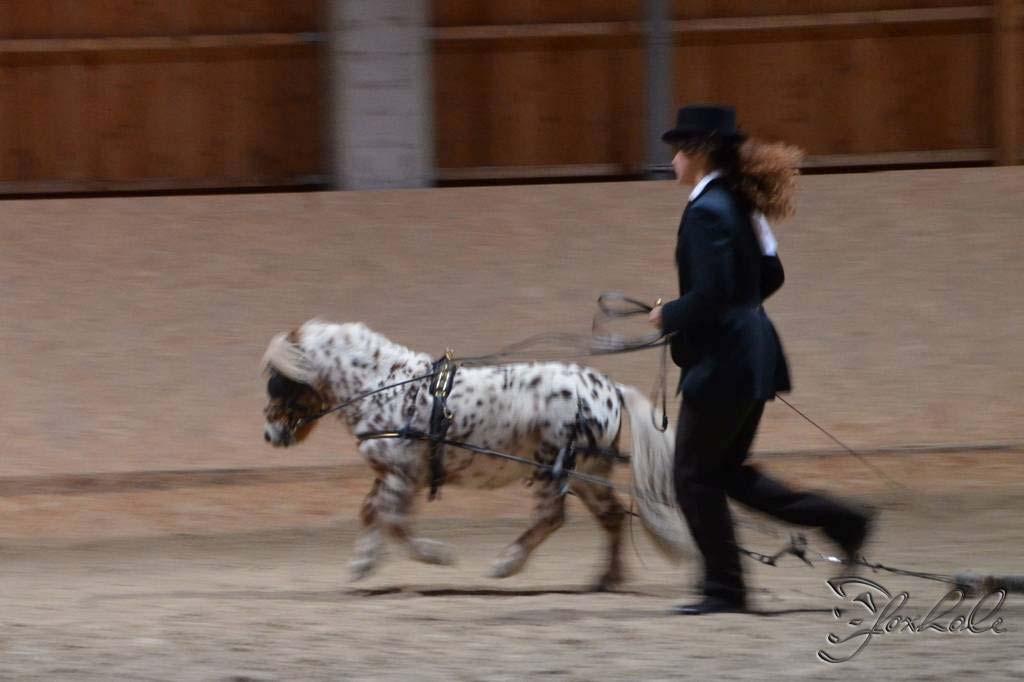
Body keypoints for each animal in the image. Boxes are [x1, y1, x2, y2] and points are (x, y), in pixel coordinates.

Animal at [260, 315, 692, 585]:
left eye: (277, 382)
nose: (270, 434)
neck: (385, 386)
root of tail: (611, 388)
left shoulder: (401, 475)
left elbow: (394, 522)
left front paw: (436, 556)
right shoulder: (391, 475)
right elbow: (371, 514)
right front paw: (362, 564)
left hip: (552, 467)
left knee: (551, 517)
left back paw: (506, 564)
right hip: (587, 472)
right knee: (612, 516)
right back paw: (606, 578)